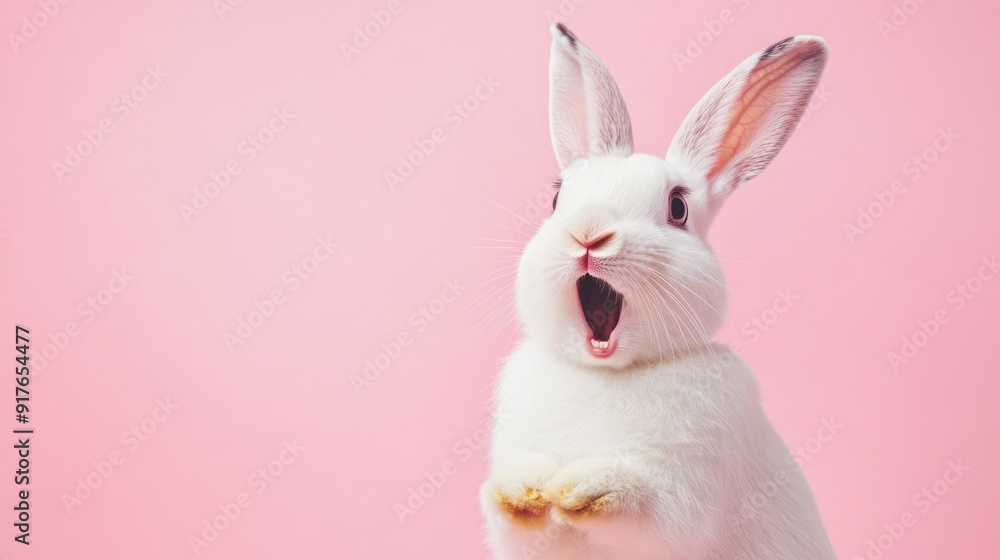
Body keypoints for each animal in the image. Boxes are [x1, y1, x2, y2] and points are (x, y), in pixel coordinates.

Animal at [480, 24, 836, 560]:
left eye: (677, 208)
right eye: (557, 198)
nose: (588, 233)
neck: (607, 373)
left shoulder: (687, 492)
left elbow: (651, 506)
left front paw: (583, 488)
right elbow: (514, 509)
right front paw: (525, 489)